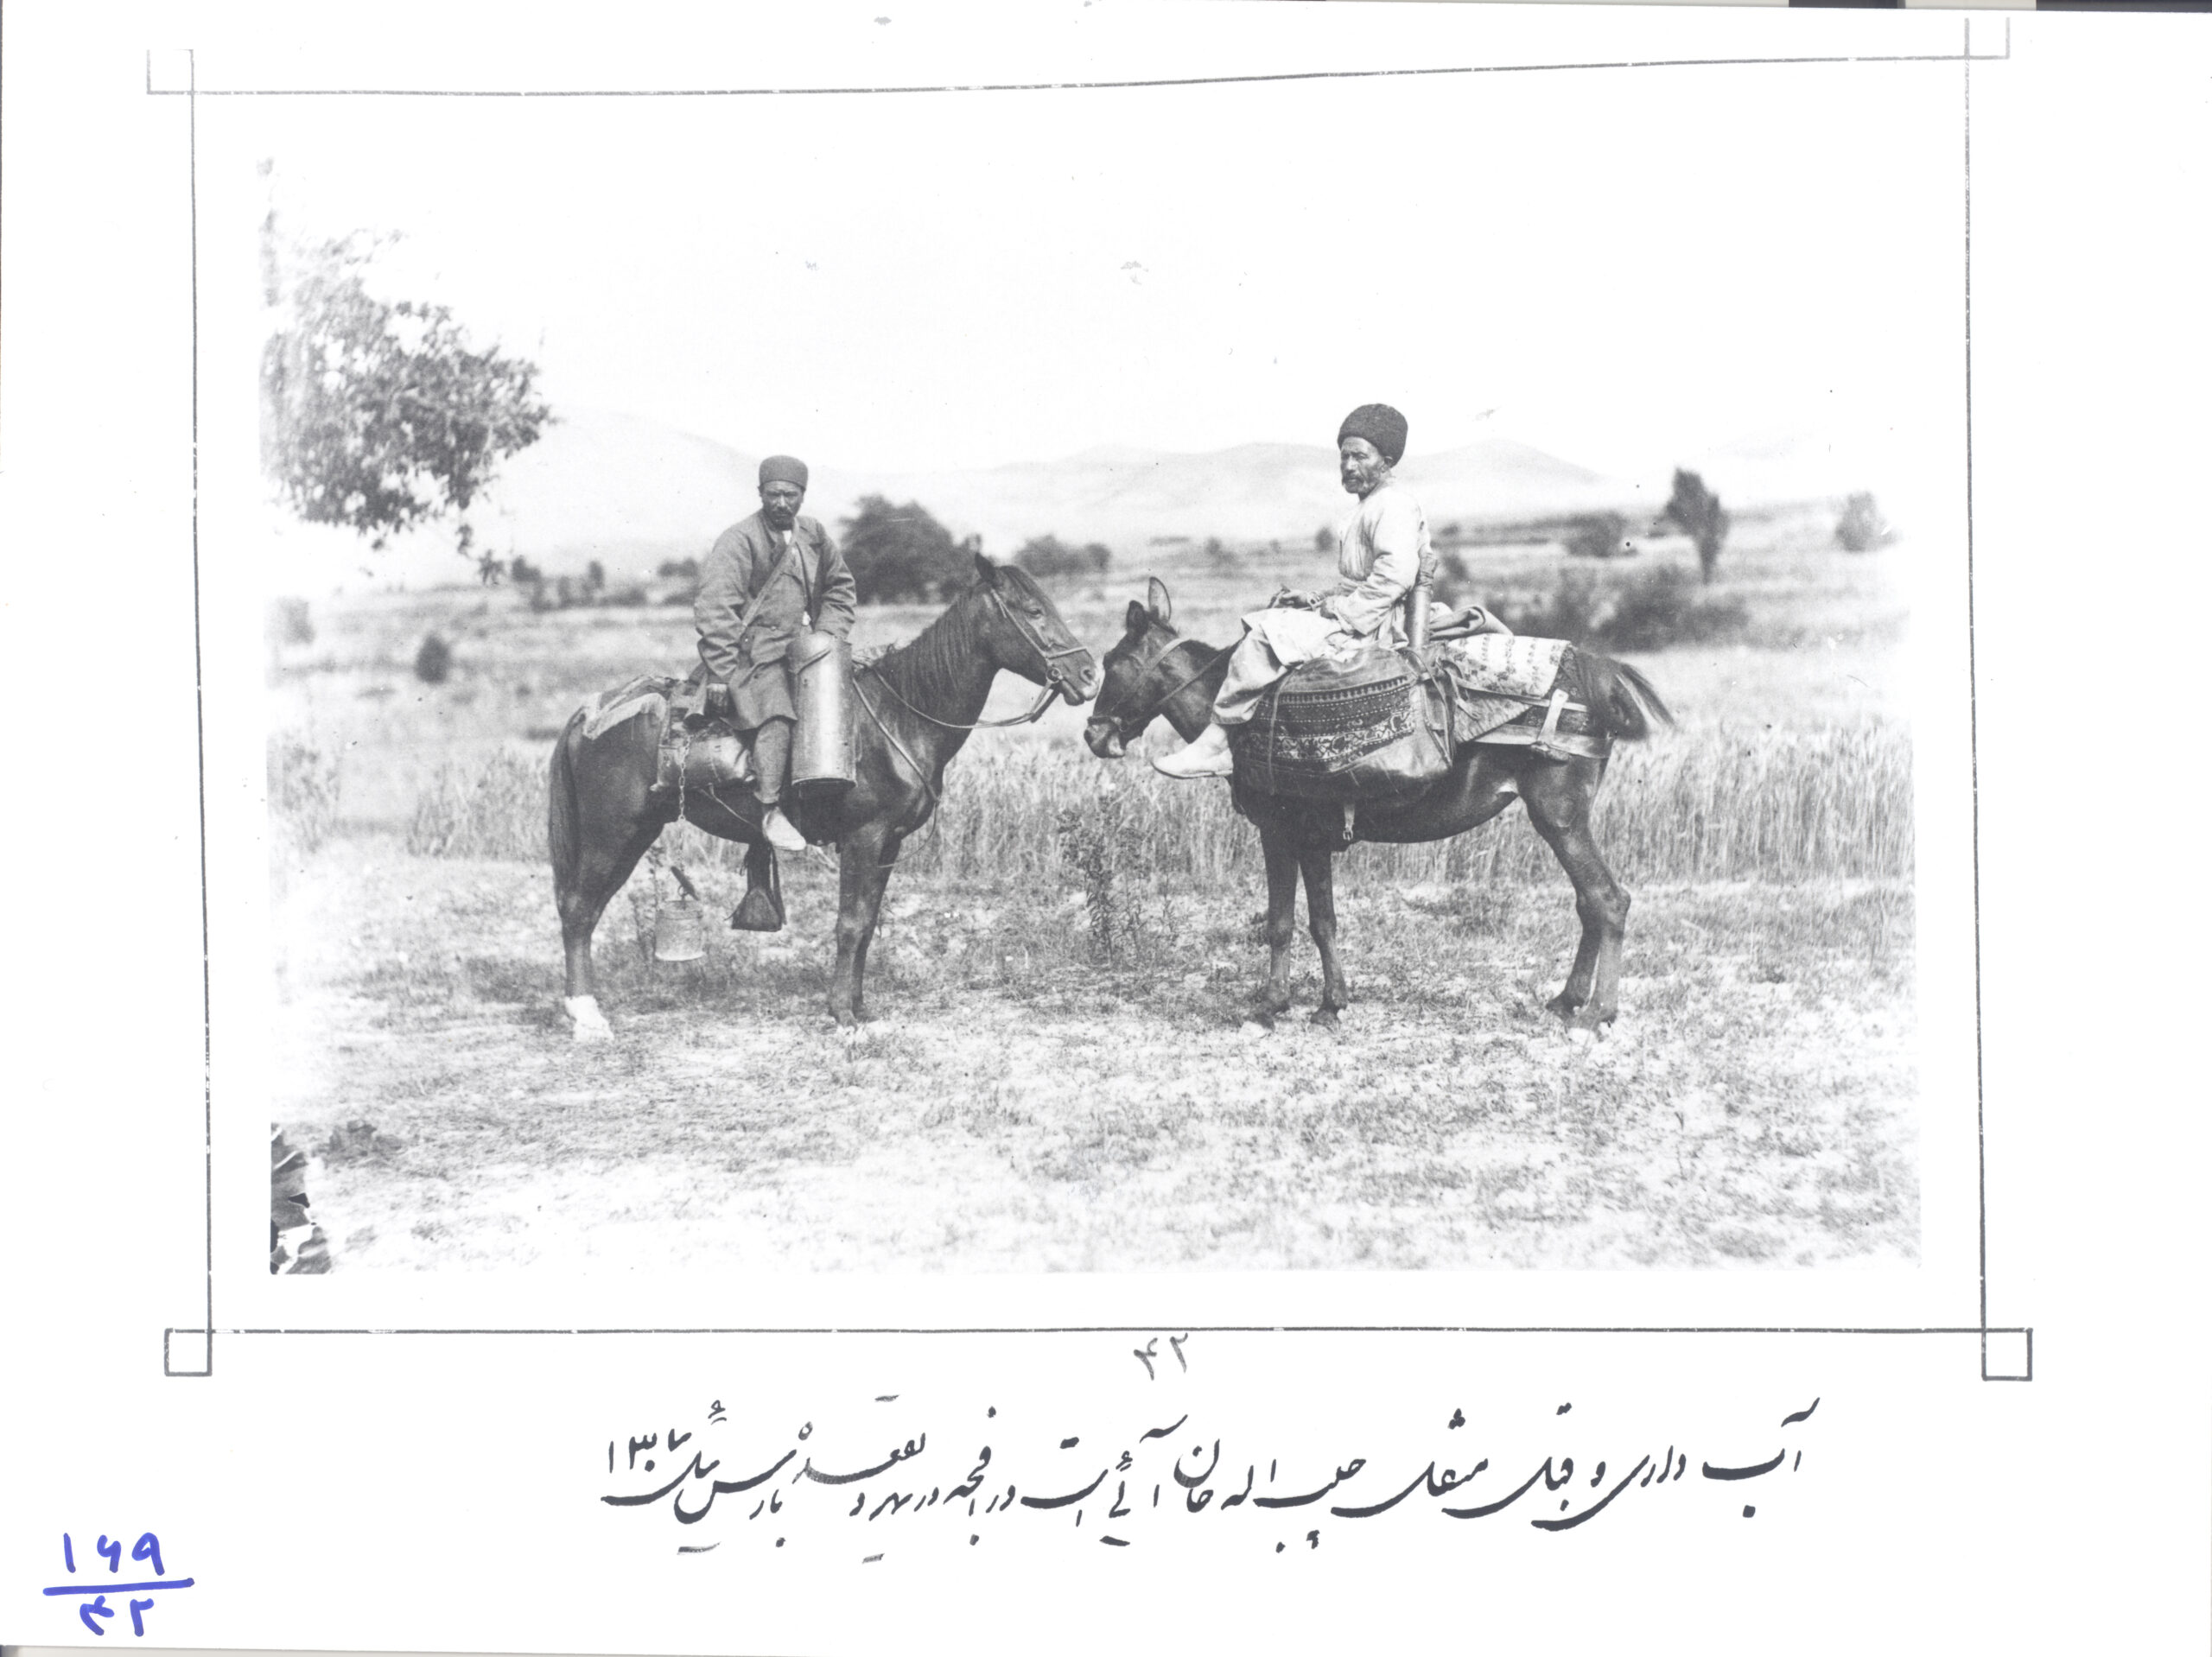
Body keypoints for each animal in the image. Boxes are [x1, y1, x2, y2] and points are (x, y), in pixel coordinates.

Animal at [549, 553, 1099, 1036]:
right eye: (1033, 611)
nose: (1090, 675)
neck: (901, 716)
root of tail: (589, 712)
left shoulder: (889, 844)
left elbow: (868, 924)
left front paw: (860, 1006)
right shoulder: (863, 838)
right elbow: (850, 925)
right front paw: (841, 1015)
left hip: (633, 834)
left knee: (585, 910)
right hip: (610, 835)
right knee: (578, 909)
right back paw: (587, 1017)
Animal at [1083, 578, 1672, 1032]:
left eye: (1114, 661)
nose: (1093, 734)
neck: (1234, 719)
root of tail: (1596, 669)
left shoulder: (1283, 833)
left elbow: (1286, 922)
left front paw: (1276, 1007)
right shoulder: (1311, 841)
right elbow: (1321, 920)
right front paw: (1329, 1004)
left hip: (1559, 817)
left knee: (1607, 900)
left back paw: (1596, 1013)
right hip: (1563, 820)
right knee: (1589, 903)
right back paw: (1567, 1000)